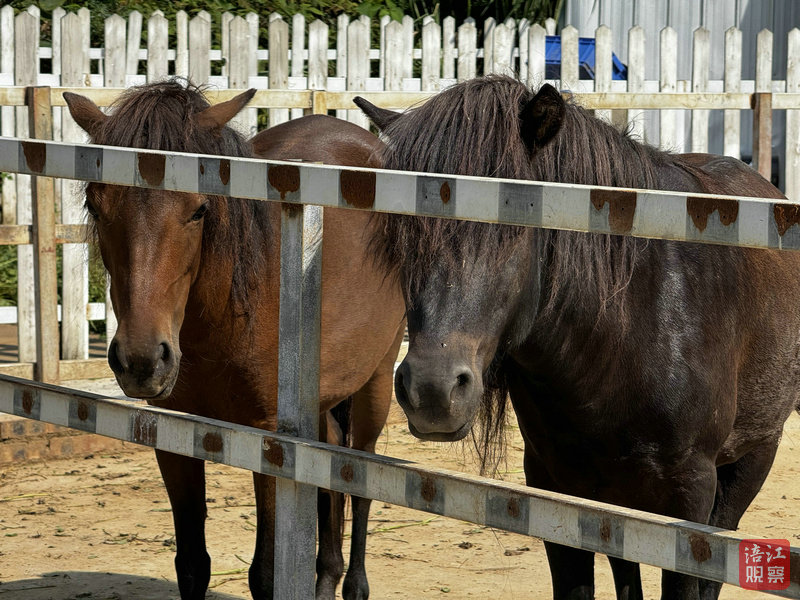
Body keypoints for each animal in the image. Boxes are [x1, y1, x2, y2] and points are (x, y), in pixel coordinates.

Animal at [63, 80, 406, 600]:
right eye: (95, 205)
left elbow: (265, 574)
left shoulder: (270, 443)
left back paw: (354, 585)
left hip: (377, 381)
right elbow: (192, 564)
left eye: (200, 208)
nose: (142, 360)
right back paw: (326, 576)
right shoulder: (175, 433)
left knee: (360, 473)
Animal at [355, 75, 800, 600]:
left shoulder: (690, 499)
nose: (432, 391)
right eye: (403, 227)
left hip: (751, 460)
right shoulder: (557, 489)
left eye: (512, 224)